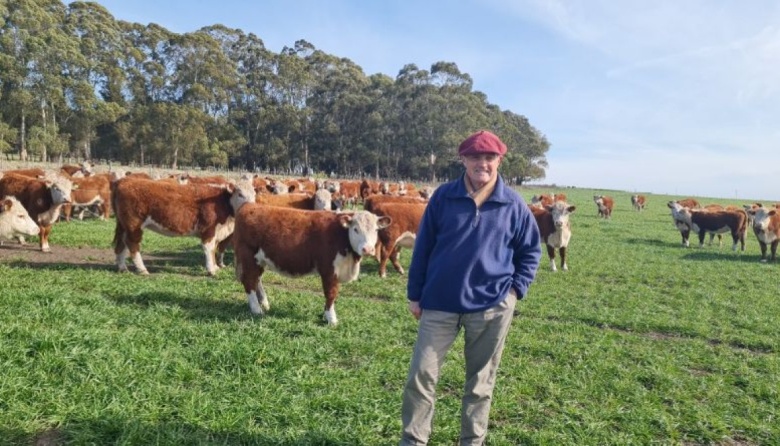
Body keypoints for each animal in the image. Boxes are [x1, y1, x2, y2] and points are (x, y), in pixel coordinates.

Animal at [112, 177, 256, 276]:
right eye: (240, 194)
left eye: (254, 194)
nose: (251, 208)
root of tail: (124, 180)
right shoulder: (208, 229)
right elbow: (209, 249)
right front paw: (211, 270)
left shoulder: (216, 232)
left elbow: (214, 249)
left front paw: (215, 267)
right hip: (133, 225)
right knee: (132, 244)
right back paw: (142, 269)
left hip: (124, 225)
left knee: (121, 245)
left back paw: (123, 268)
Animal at [232, 205, 390, 324]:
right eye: (356, 229)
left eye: (376, 230)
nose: (367, 249)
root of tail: (248, 206)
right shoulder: (329, 269)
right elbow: (331, 293)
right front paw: (331, 318)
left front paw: (327, 315)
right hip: (248, 256)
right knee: (249, 281)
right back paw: (256, 309)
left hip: (260, 260)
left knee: (256, 280)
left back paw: (264, 303)